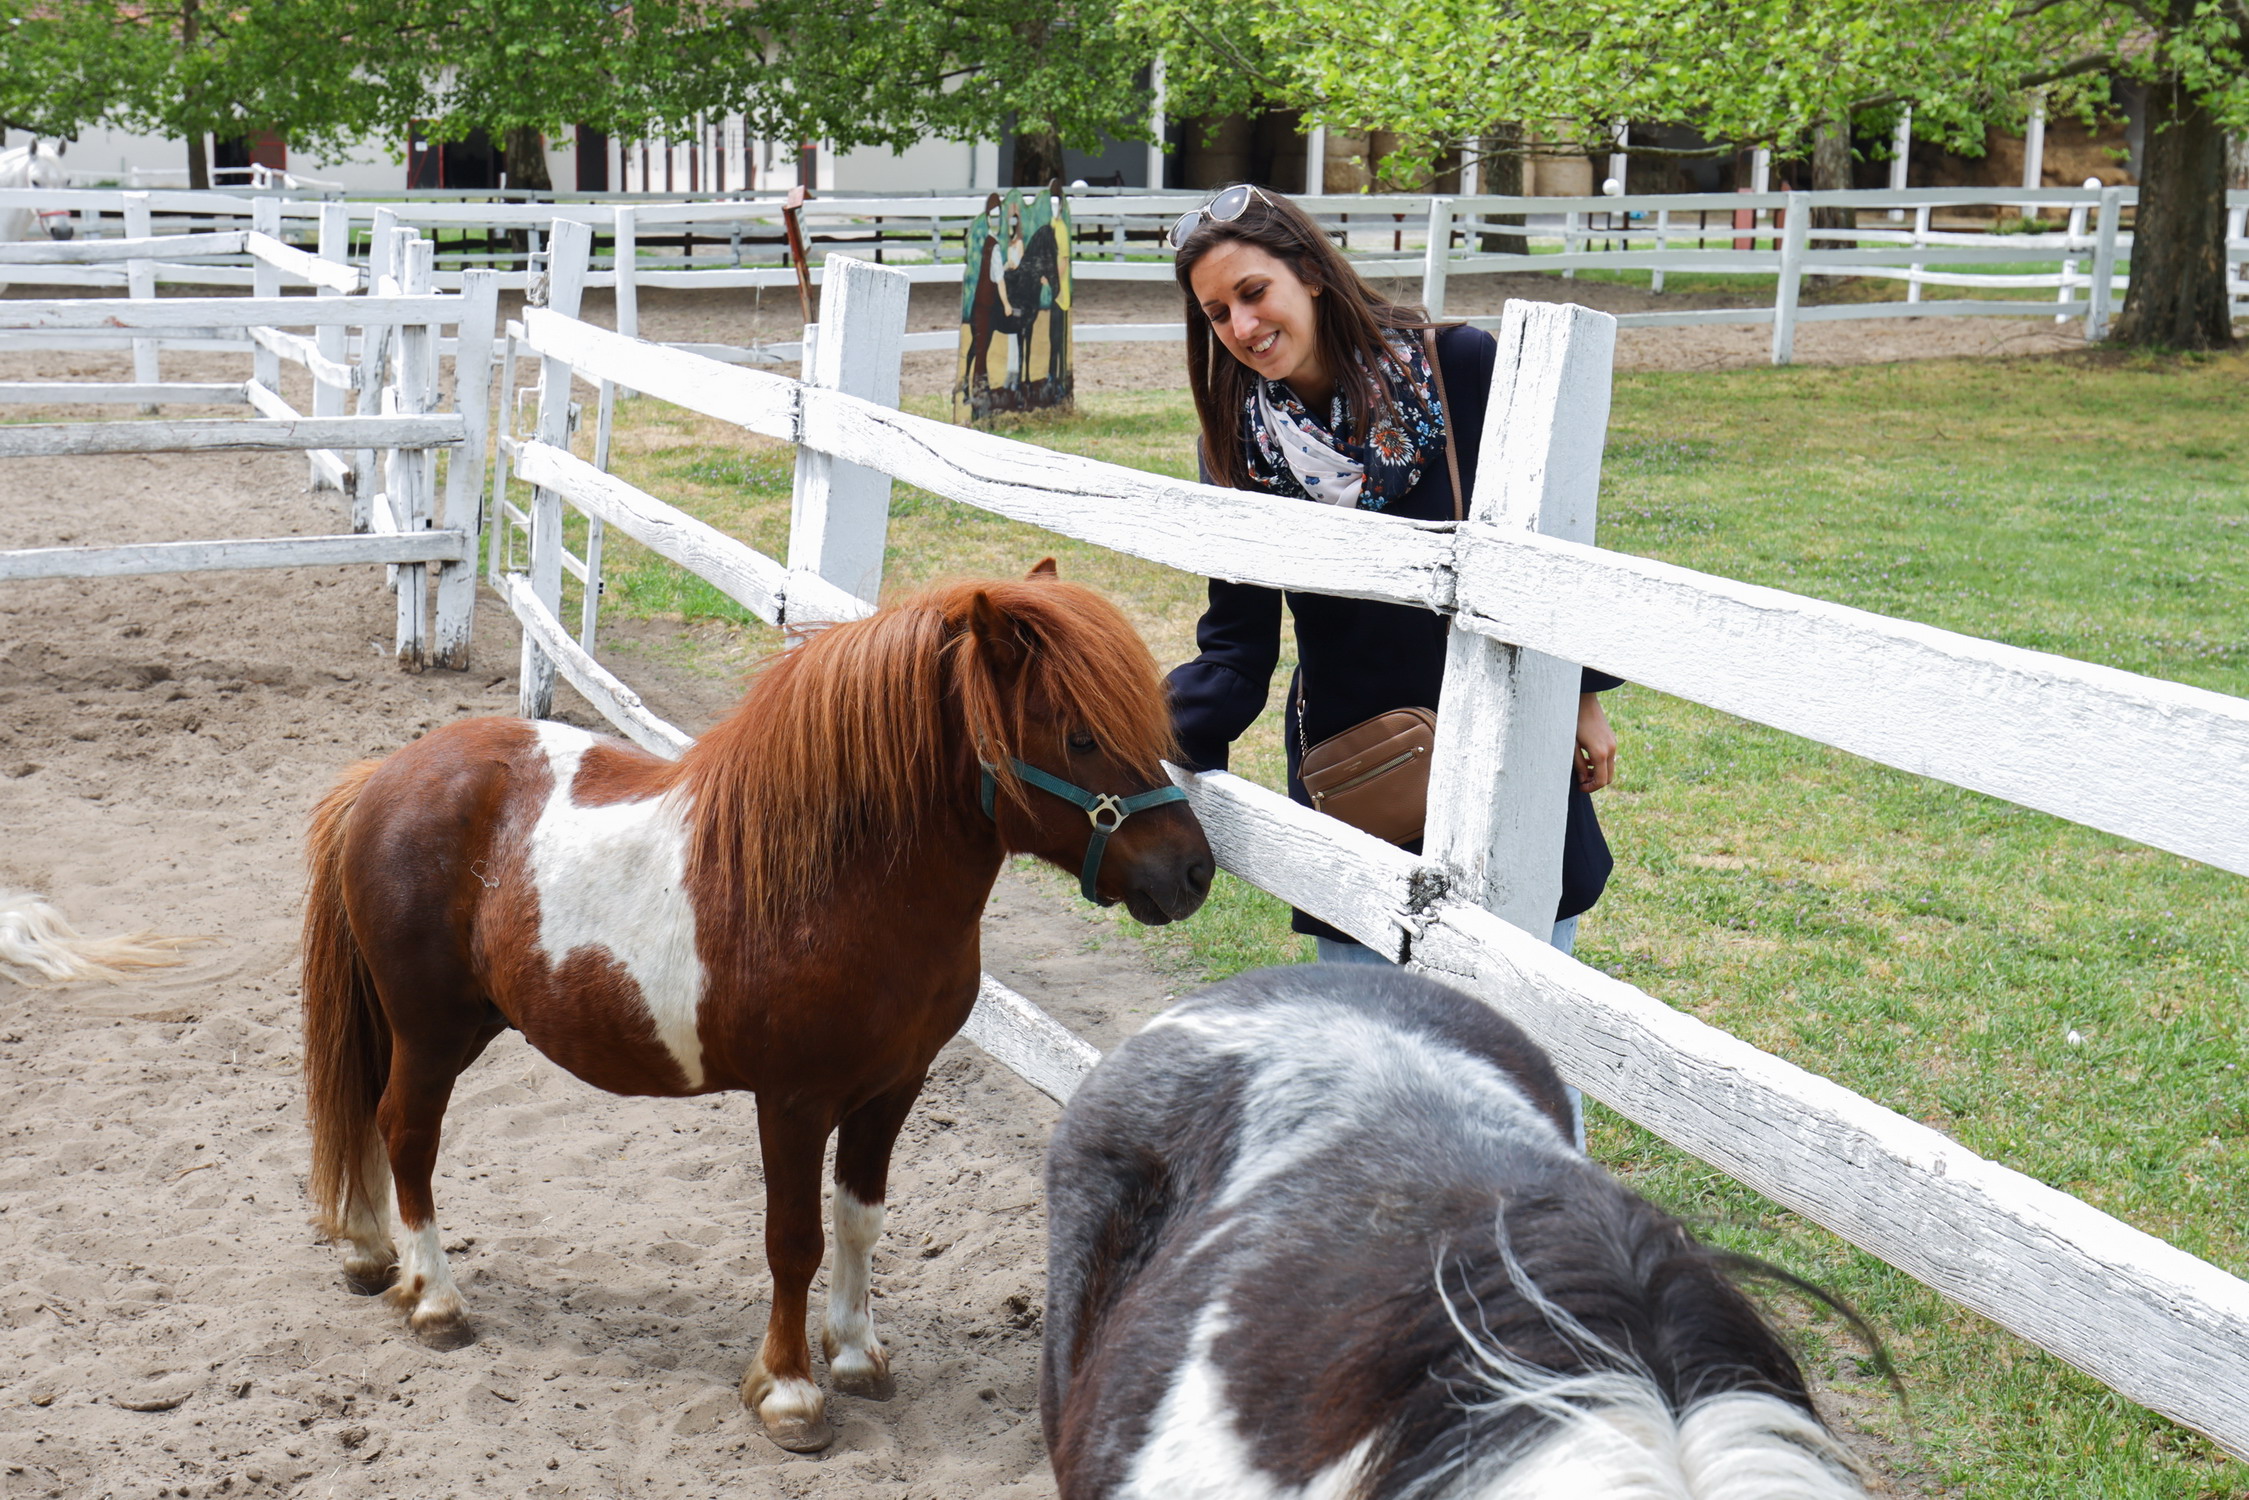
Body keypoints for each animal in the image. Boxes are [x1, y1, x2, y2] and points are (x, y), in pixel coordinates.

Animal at [303, 568, 1214, 1448]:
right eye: (1080, 735)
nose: (1193, 873)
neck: (840, 885)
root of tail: (383, 777)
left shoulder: (893, 1089)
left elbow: (859, 1222)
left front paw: (855, 1356)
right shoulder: (793, 1102)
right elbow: (793, 1240)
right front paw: (789, 1393)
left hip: (447, 1028)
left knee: (374, 1118)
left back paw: (372, 1254)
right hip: (432, 1030)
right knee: (407, 1135)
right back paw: (435, 1301)